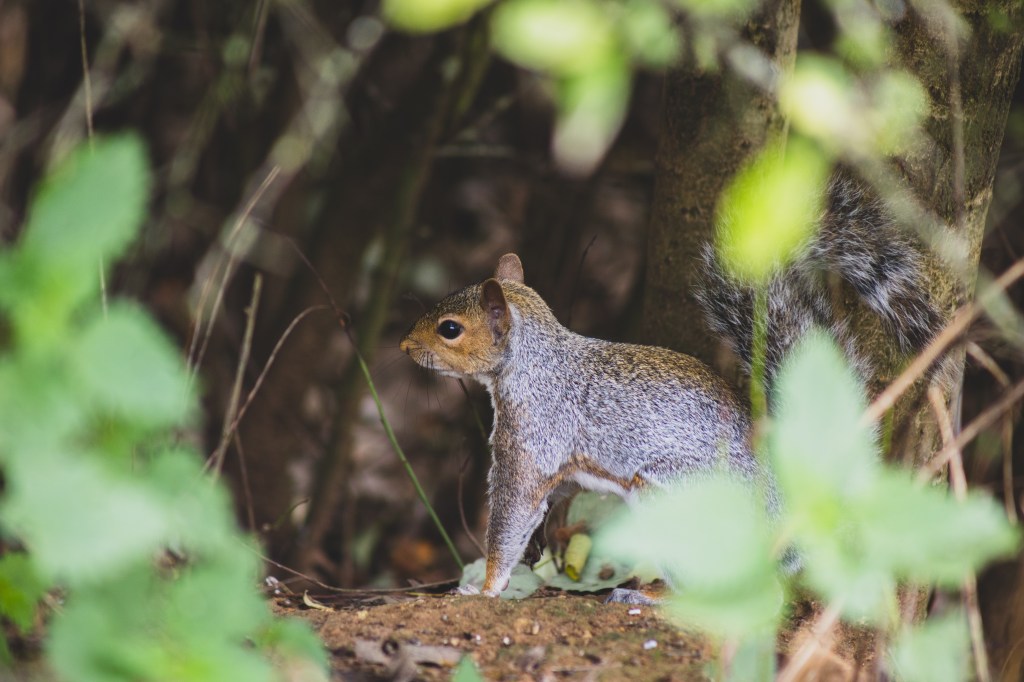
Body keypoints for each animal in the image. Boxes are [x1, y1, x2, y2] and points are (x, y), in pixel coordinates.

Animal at [399, 175, 945, 598]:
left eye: (450, 329)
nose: (405, 346)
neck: (537, 363)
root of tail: (788, 519)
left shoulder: (533, 437)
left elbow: (513, 513)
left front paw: (485, 587)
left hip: (671, 498)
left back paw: (651, 597)